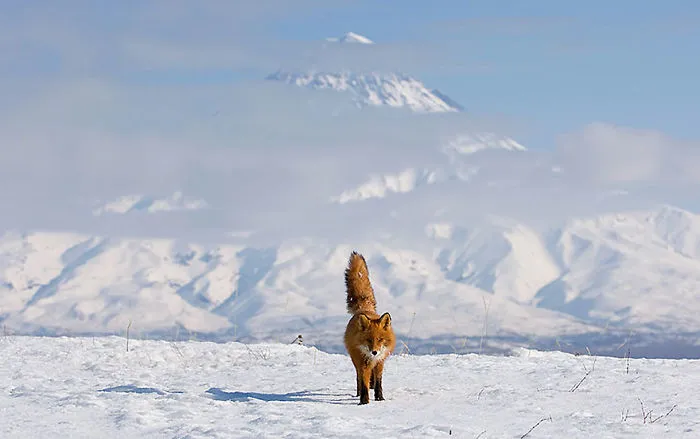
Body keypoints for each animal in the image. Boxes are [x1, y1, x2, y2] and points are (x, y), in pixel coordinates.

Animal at [343, 251, 396, 405]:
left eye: (380, 339)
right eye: (368, 340)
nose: (374, 352)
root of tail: (364, 309)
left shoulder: (380, 362)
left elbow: (378, 382)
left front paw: (380, 398)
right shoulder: (363, 363)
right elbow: (364, 383)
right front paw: (364, 401)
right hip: (355, 361)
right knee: (358, 379)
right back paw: (358, 393)